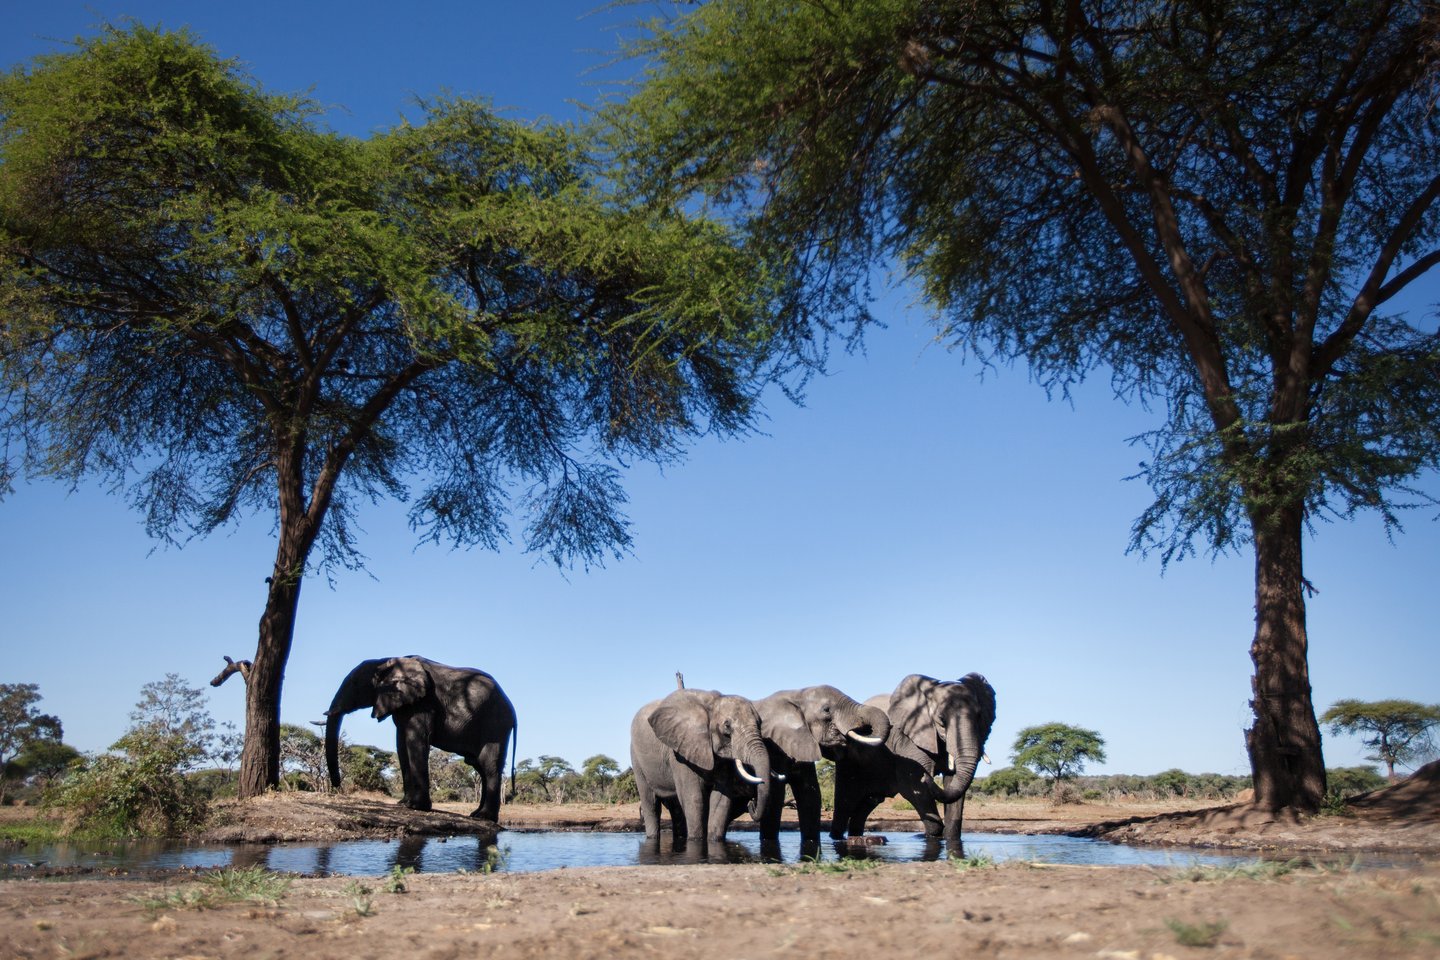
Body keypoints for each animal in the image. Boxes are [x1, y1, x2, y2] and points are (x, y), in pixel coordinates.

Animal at [324, 656, 516, 820]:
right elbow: (401, 745)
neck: (386, 660)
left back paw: (484, 817)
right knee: (479, 767)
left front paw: (417, 807)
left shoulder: (423, 703)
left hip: (495, 725)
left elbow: (416, 741)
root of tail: (512, 710)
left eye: (354, 684)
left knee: (488, 765)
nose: (337, 785)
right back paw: (476, 814)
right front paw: (403, 803)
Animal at [629, 687, 773, 850]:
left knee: (675, 808)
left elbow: (721, 799)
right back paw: (652, 836)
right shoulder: (681, 752)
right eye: (727, 726)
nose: (751, 803)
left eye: (760, 724)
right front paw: (696, 841)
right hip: (637, 759)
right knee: (651, 803)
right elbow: (695, 798)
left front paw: (714, 841)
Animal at [749, 685, 891, 855]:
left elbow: (810, 793)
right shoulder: (774, 745)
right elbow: (776, 794)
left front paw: (811, 844)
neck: (797, 694)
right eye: (826, 710)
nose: (751, 803)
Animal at [830, 673, 996, 843]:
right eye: (941, 720)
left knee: (869, 802)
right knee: (845, 802)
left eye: (979, 717)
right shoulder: (907, 741)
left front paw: (949, 838)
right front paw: (931, 835)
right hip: (850, 760)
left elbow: (953, 785)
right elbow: (911, 784)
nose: (928, 777)